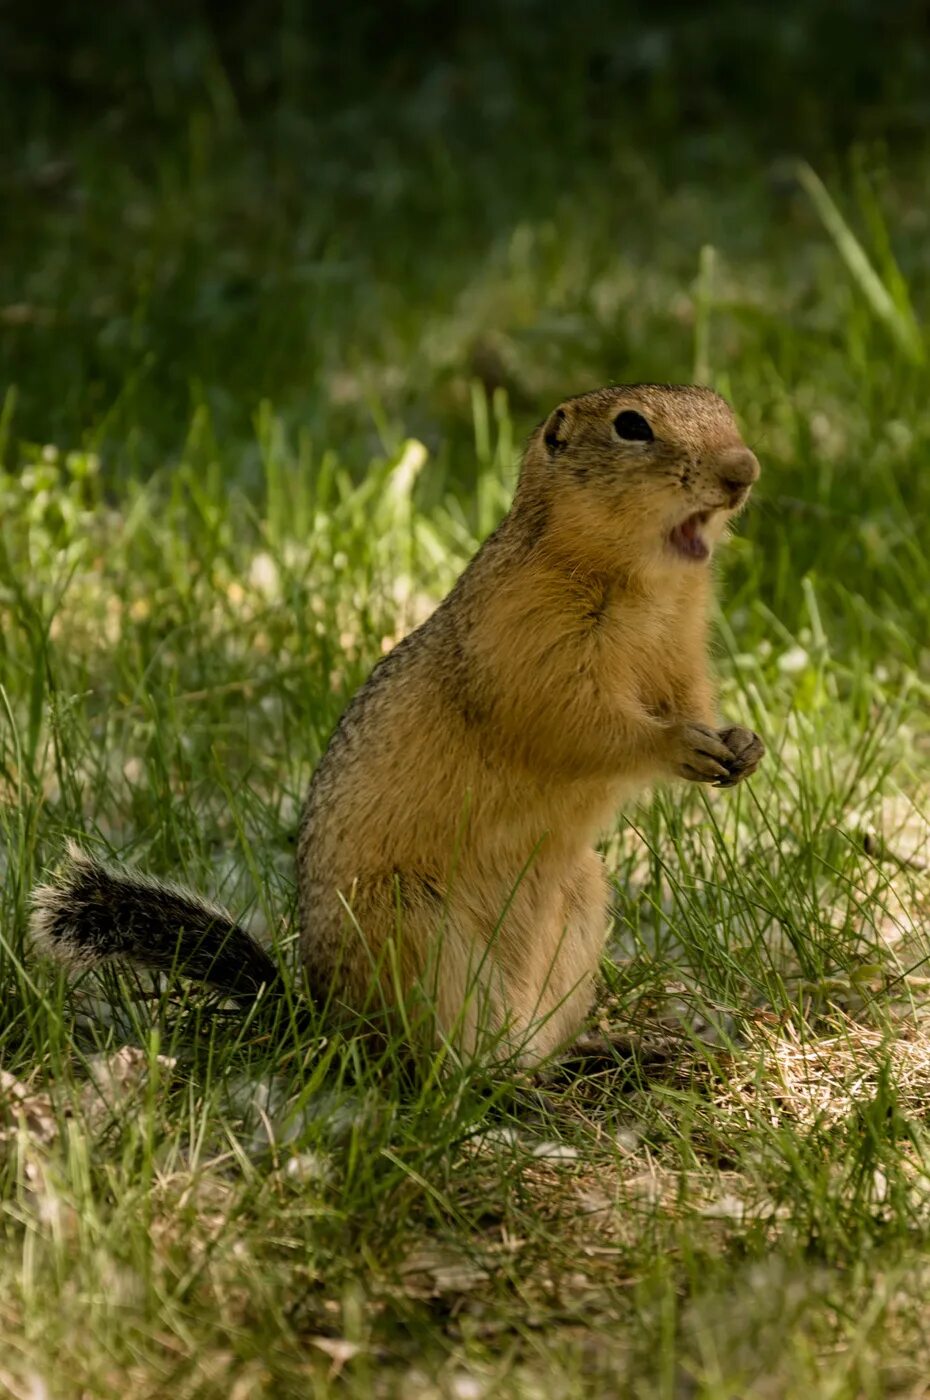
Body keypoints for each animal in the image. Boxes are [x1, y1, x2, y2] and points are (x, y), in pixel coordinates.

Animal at [29, 380, 761, 1058]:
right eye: (631, 426)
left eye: (723, 406)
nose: (744, 469)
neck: (645, 585)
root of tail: (319, 1020)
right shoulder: (531, 651)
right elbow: (582, 726)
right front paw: (676, 746)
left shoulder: (681, 655)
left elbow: (693, 700)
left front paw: (743, 745)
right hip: (413, 931)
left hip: (579, 905)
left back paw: (591, 1056)